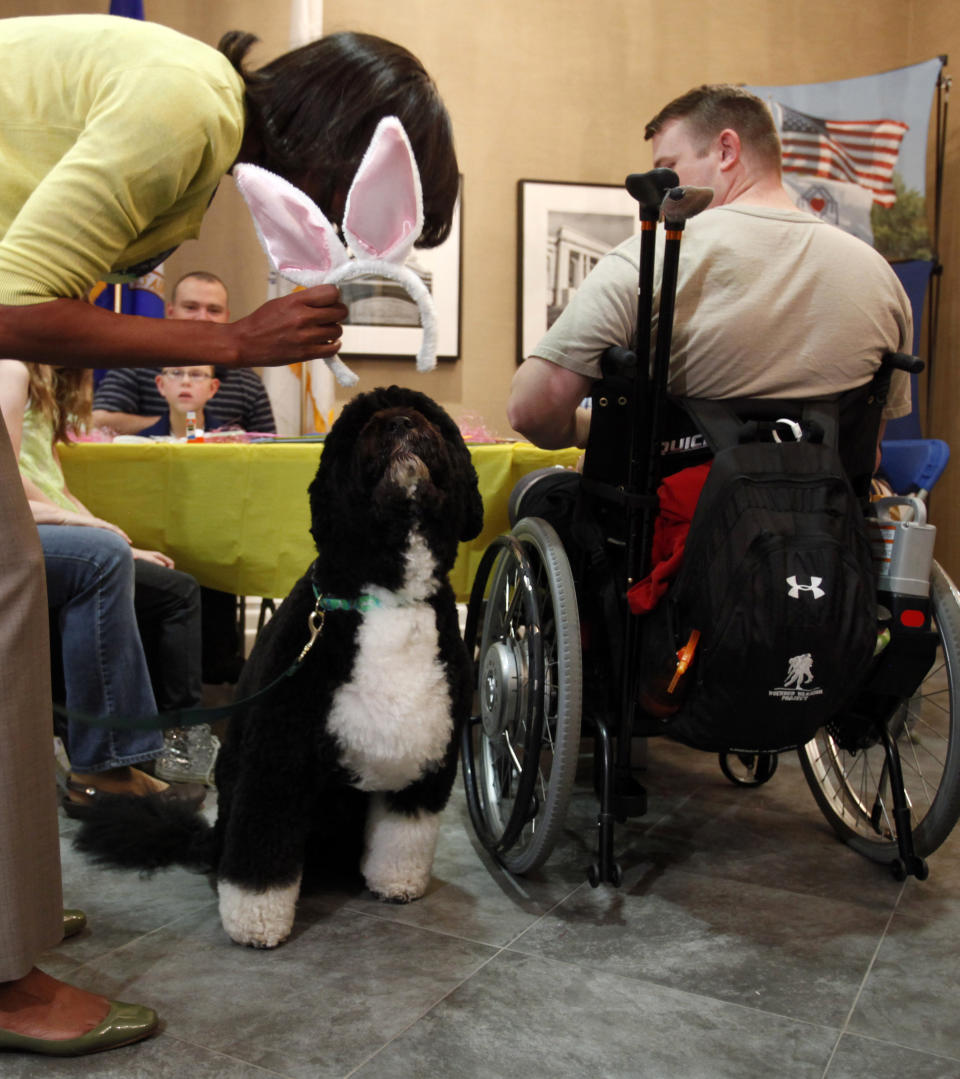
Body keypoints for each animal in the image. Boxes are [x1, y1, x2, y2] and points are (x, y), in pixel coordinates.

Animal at [75, 386, 483, 945]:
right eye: (360, 425)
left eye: (433, 421)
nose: (400, 422)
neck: (387, 595)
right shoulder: (279, 756)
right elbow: (261, 853)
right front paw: (256, 923)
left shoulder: (426, 759)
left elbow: (403, 837)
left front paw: (397, 883)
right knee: (232, 851)